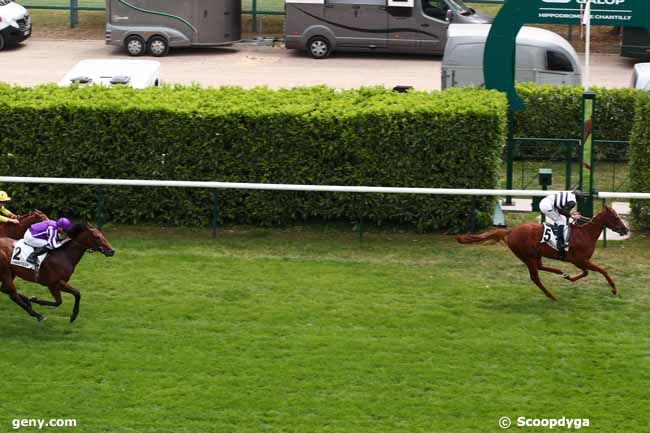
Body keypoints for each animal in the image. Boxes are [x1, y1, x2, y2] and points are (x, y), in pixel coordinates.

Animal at [456, 206, 628, 300]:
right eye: (616, 217)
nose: (626, 229)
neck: (585, 234)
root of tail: (510, 231)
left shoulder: (580, 262)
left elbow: (586, 273)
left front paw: (570, 277)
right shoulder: (580, 260)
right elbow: (602, 270)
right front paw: (614, 289)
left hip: (534, 255)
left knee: (540, 267)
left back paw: (562, 273)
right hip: (527, 256)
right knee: (535, 277)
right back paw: (551, 295)